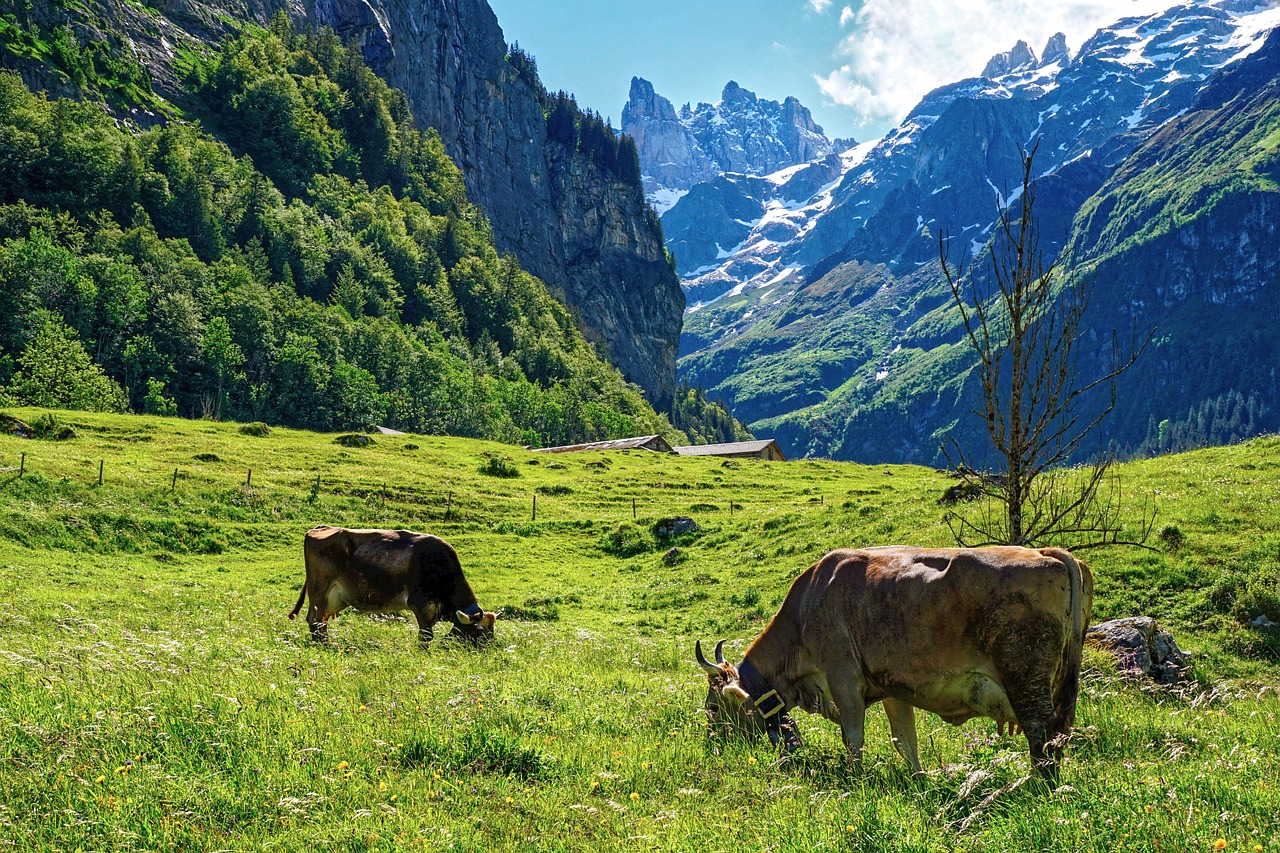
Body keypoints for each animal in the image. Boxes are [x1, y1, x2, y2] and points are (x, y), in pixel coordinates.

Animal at [288, 522, 496, 648]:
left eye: (492, 631)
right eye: (480, 631)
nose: (489, 652)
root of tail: (321, 528)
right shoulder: (420, 605)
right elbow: (425, 637)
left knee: (321, 622)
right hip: (319, 589)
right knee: (314, 620)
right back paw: (323, 646)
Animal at [696, 545, 1095, 778]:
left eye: (713, 706)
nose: (711, 744)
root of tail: (1047, 553)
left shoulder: (843, 679)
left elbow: (853, 737)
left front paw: (855, 781)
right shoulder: (891, 687)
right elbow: (905, 740)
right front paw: (919, 781)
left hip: (1024, 679)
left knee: (1041, 736)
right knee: (1059, 734)